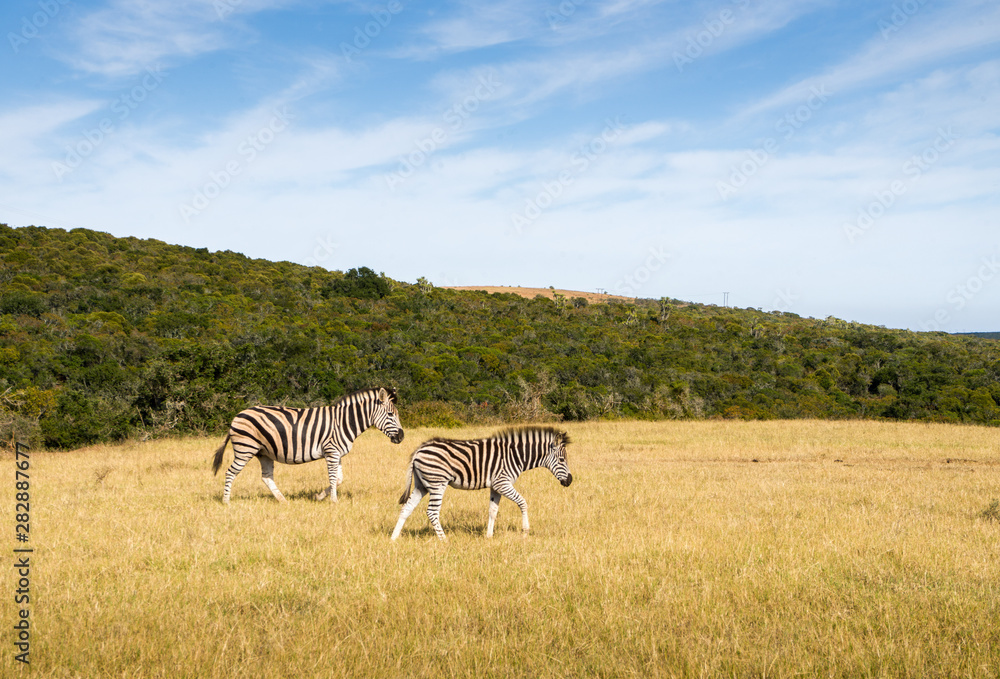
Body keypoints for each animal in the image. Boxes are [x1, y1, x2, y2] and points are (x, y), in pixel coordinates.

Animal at [212, 387, 404, 504]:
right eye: (390, 414)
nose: (402, 437)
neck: (343, 422)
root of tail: (237, 415)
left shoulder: (337, 454)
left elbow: (339, 479)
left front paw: (319, 496)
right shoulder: (331, 451)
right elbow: (333, 478)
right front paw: (334, 501)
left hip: (264, 452)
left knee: (266, 477)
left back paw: (283, 500)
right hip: (245, 449)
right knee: (230, 472)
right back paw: (226, 501)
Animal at [391, 426, 572, 540]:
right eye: (562, 460)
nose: (570, 481)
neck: (516, 456)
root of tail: (418, 450)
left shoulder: (495, 486)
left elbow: (493, 511)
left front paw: (489, 536)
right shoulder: (502, 483)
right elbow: (523, 502)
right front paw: (525, 531)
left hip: (421, 485)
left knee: (406, 508)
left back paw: (394, 538)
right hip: (437, 484)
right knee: (432, 512)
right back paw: (444, 540)